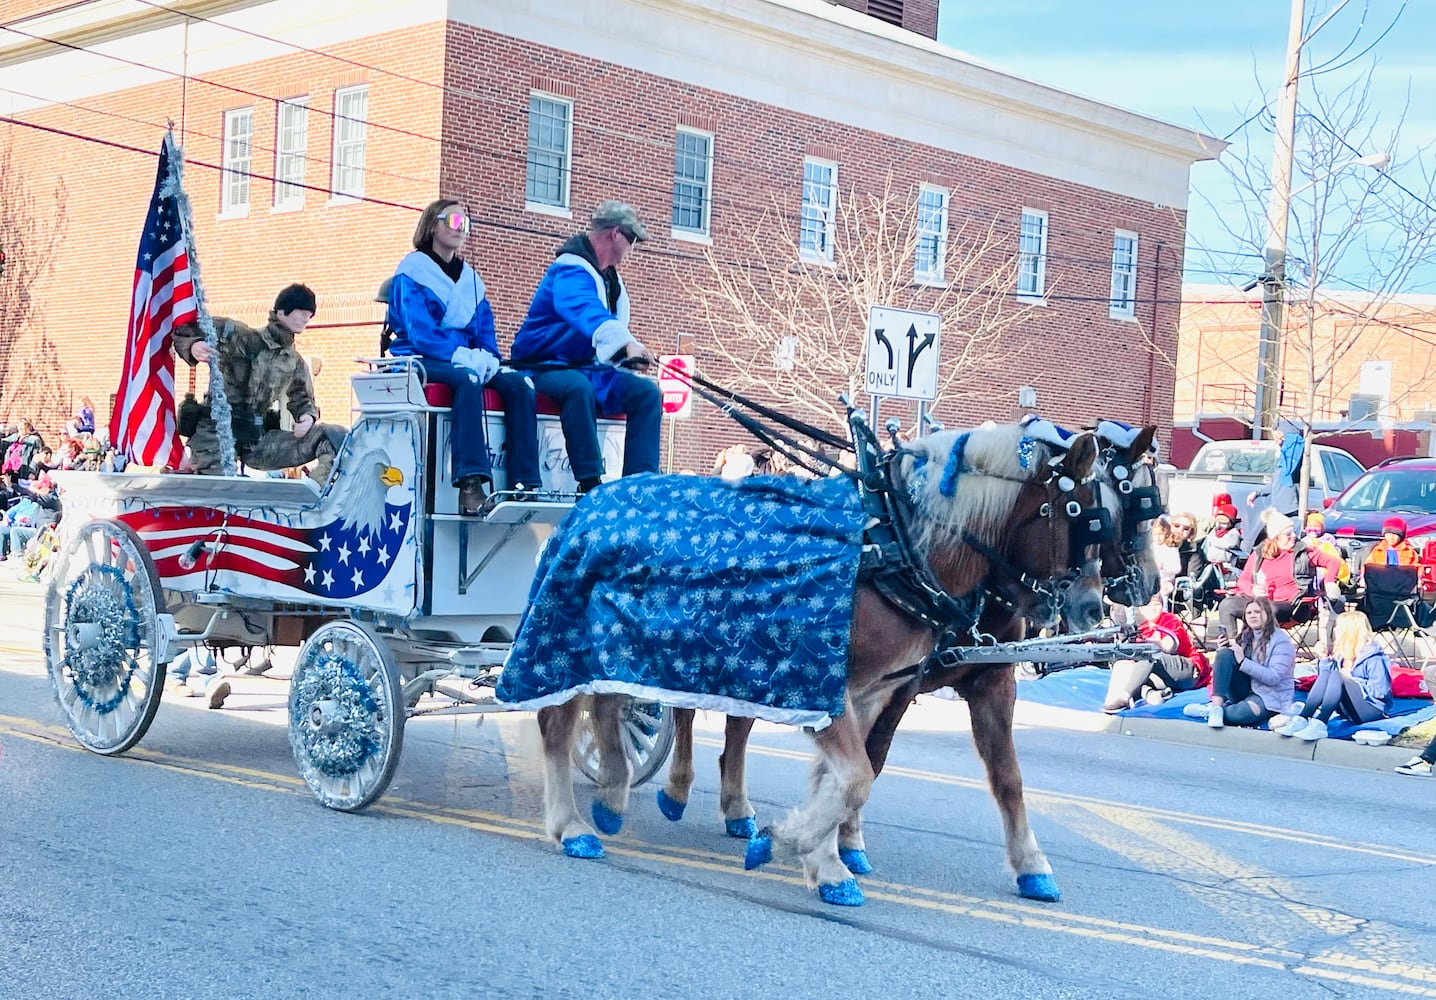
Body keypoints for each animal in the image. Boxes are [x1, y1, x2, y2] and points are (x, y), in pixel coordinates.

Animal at [528, 422, 1097, 908]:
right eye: (1078, 511)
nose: (1087, 606)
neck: (893, 546)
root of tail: (584, 505)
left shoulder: (871, 693)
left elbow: (843, 778)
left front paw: (821, 860)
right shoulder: (826, 687)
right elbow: (855, 777)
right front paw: (795, 843)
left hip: (626, 649)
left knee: (611, 708)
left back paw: (613, 797)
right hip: (569, 640)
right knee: (558, 719)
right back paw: (573, 827)